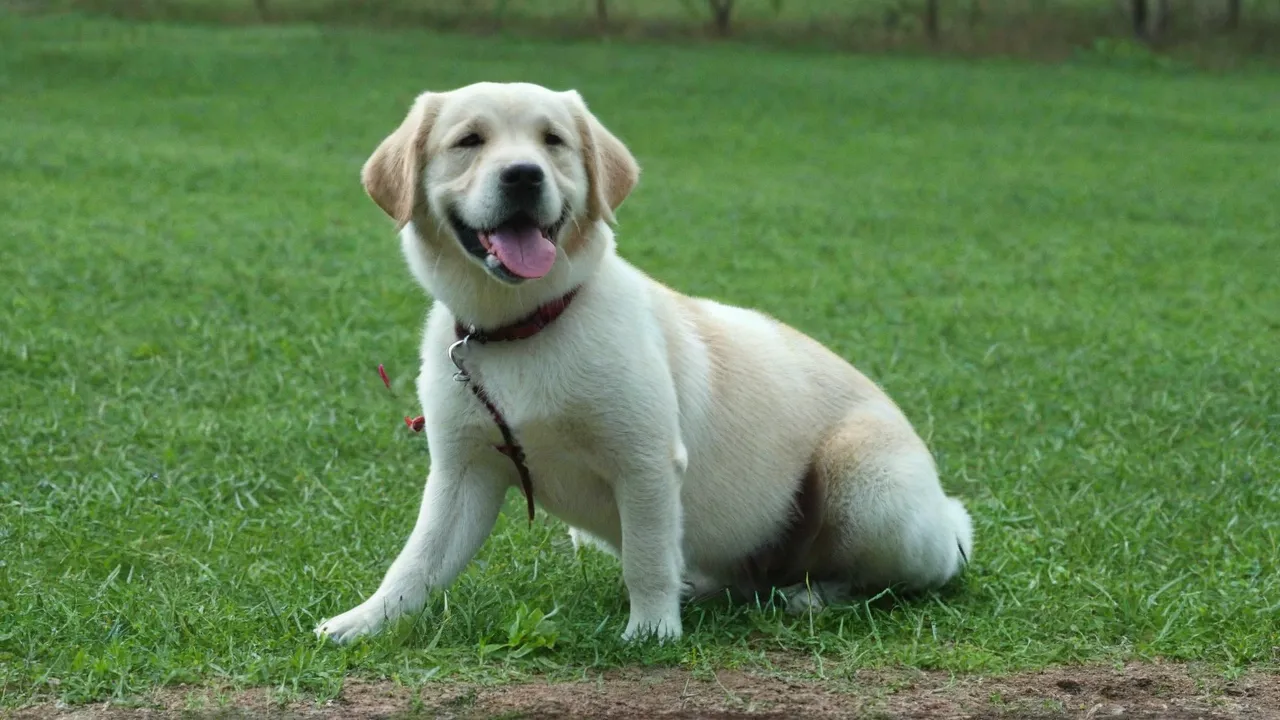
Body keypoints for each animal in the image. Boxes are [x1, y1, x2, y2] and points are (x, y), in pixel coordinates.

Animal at [314, 81, 972, 640]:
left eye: (553, 141)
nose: (524, 175)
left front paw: (652, 632)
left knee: (904, 575)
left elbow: (647, 557)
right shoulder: (463, 471)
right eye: (469, 141)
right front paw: (365, 621)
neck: (524, 326)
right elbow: (417, 560)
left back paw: (812, 594)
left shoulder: (645, 459)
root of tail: (947, 515)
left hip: (865, 479)